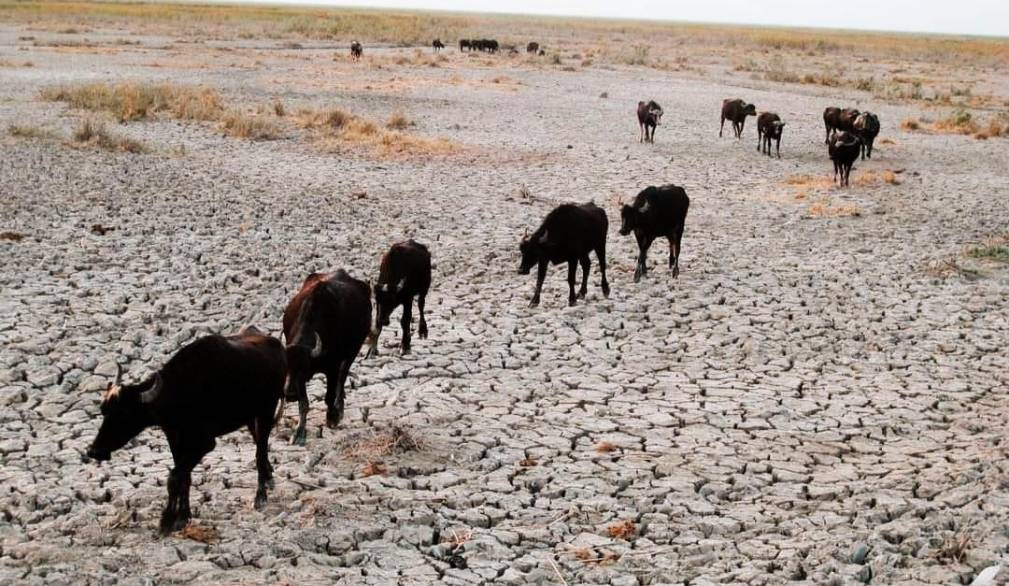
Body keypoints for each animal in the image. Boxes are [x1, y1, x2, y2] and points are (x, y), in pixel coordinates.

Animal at [85, 324, 288, 536]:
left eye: (124, 414)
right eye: (104, 410)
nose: (94, 451)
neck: (180, 392)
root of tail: (278, 347)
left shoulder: (204, 443)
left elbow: (174, 477)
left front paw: (167, 520)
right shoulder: (175, 438)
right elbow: (185, 477)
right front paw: (183, 515)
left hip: (266, 411)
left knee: (260, 450)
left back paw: (260, 496)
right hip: (250, 418)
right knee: (259, 445)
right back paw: (268, 477)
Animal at [284, 270, 371, 443]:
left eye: (302, 368)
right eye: (286, 368)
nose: (289, 394)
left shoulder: (332, 368)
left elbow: (329, 395)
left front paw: (332, 417)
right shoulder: (300, 382)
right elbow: (303, 403)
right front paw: (299, 431)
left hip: (354, 349)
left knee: (343, 375)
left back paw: (340, 406)